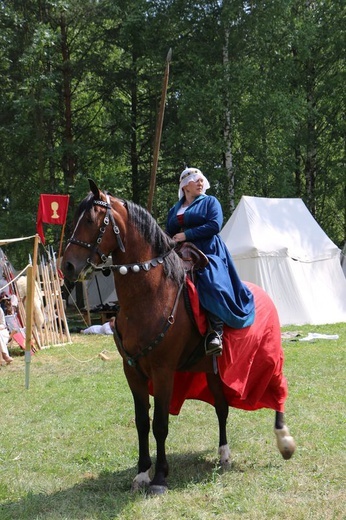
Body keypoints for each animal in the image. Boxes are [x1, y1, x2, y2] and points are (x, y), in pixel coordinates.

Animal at [61, 180, 294, 496]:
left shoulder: (163, 372)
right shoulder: (132, 371)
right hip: (213, 370)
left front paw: (160, 477)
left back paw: (284, 441)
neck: (149, 296)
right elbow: (141, 422)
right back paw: (224, 454)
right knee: (222, 407)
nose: (67, 266)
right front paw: (142, 473)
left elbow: (160, 424)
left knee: (278, 390)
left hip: (268, 360)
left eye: (90, 220)